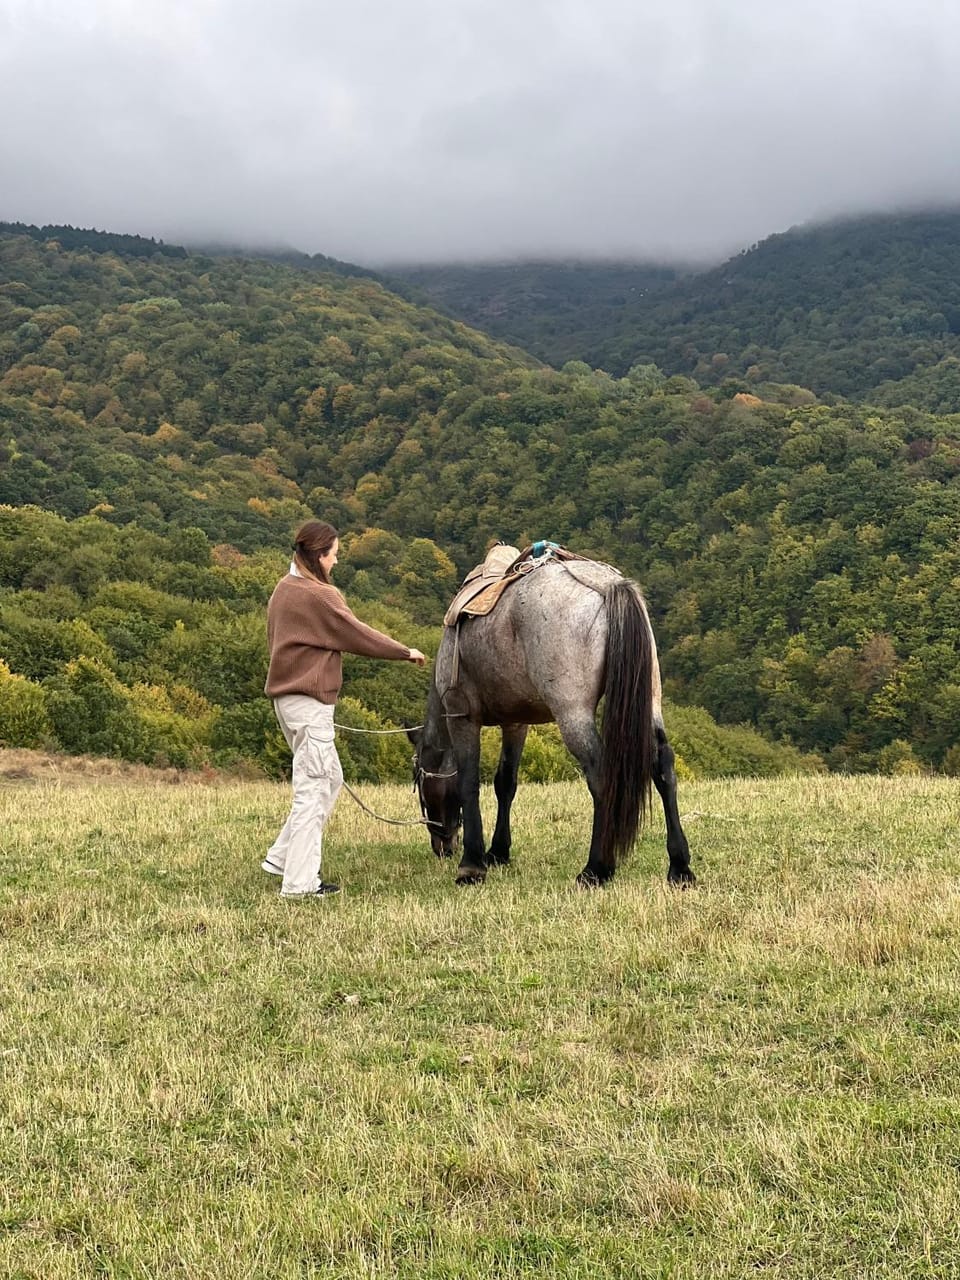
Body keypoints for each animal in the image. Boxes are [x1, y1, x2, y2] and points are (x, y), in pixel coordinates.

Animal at [409, 552, 695, 888]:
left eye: (422, 790)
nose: (442, 846)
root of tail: (607, 585)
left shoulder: (462, 717)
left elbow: (469, 784)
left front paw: (472, 864)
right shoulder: (515, 724)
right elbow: (505, 783)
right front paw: (498, 851)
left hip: (572, 714)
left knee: (601, 776)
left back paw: (596, 868)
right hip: (650, 706)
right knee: (663, 768)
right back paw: (679, 866)